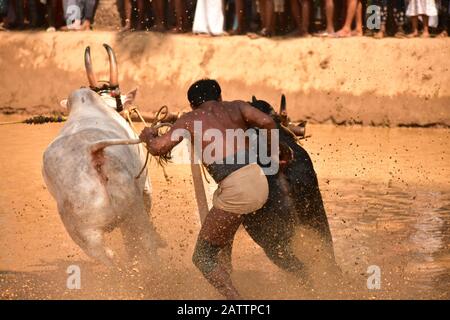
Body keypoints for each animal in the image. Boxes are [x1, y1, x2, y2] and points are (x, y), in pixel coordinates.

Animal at [42, 44, 164, 264]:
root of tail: (92, 152)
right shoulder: (146, 187)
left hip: (85, 234)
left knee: (108, 257)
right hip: (134, 211)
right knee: (145, 241)